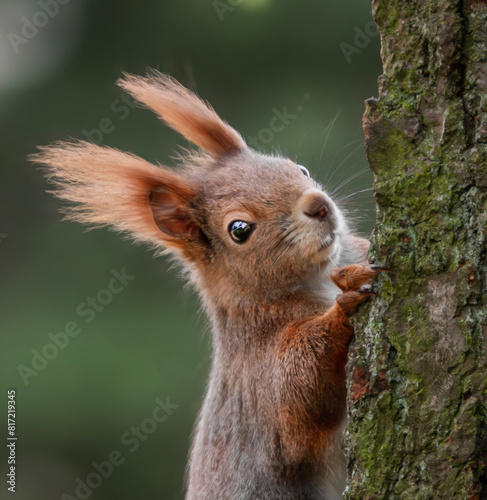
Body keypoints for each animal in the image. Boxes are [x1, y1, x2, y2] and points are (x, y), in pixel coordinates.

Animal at [34, 73, 386, 500]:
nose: (319, 204)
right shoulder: (257, 363)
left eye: (298, 168)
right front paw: (343, 305)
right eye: (239, 229)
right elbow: (300, 391)